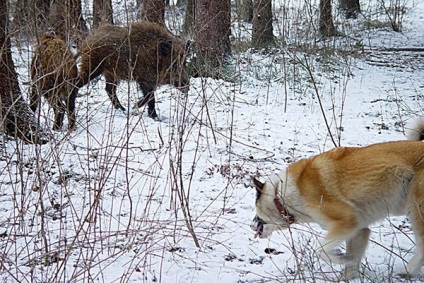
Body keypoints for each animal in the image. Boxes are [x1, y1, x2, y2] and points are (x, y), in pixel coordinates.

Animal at [250, 123, 424, 280]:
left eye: (256, 211)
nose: (251, 226)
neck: (281, 196)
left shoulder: (347, 220)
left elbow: (321, 250)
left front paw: (340, 257)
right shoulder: (359, 230)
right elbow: (352, 261)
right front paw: (347, 272)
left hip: (417, 210)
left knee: (422, 246)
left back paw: (408, 271)